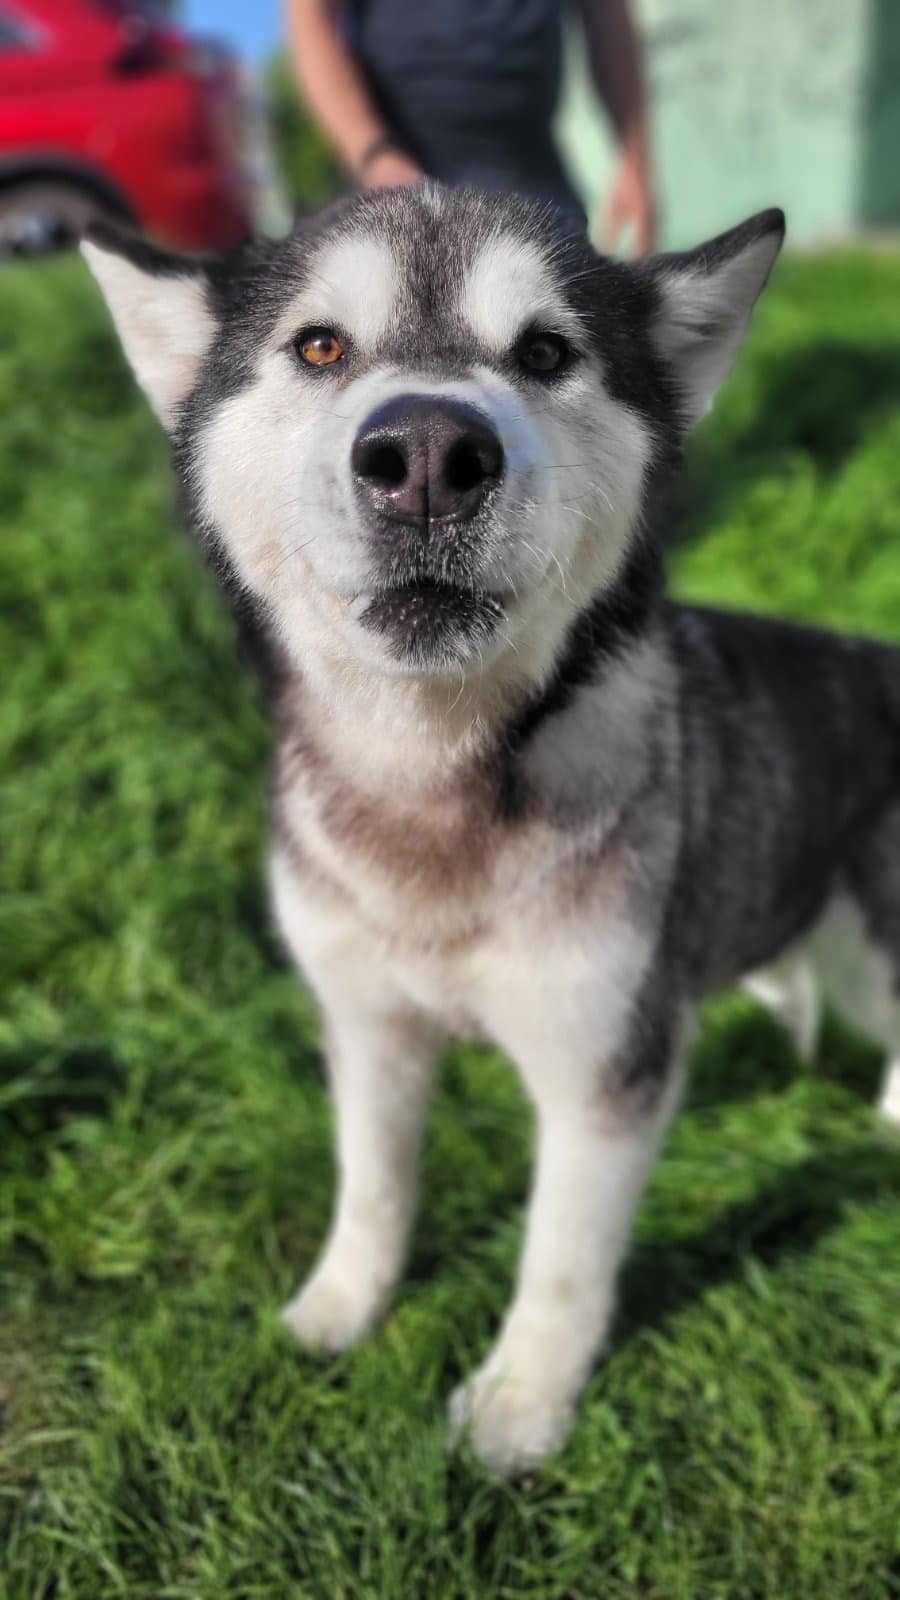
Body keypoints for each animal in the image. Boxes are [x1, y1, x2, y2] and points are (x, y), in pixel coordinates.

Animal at [84, 190, 896, 1472]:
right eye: (321, 346)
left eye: (547, 352)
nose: (426, 455)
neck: (434, 795)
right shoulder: (368, 1024)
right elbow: (372, 1182)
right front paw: (339, 1307)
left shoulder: (603, 1069)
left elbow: (562, 1261)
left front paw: (521, 1407)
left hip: (870, 953)